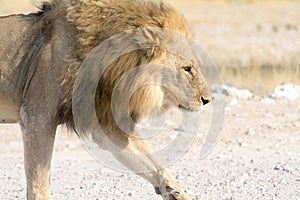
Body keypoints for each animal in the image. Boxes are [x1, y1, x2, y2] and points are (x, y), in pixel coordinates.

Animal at [0, 0, 211, 200]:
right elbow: (39, 181)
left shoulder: (106, 122)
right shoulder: (37, 116)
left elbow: (151, 161)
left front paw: (177, 191)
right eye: (187, 68)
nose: (207, 100)